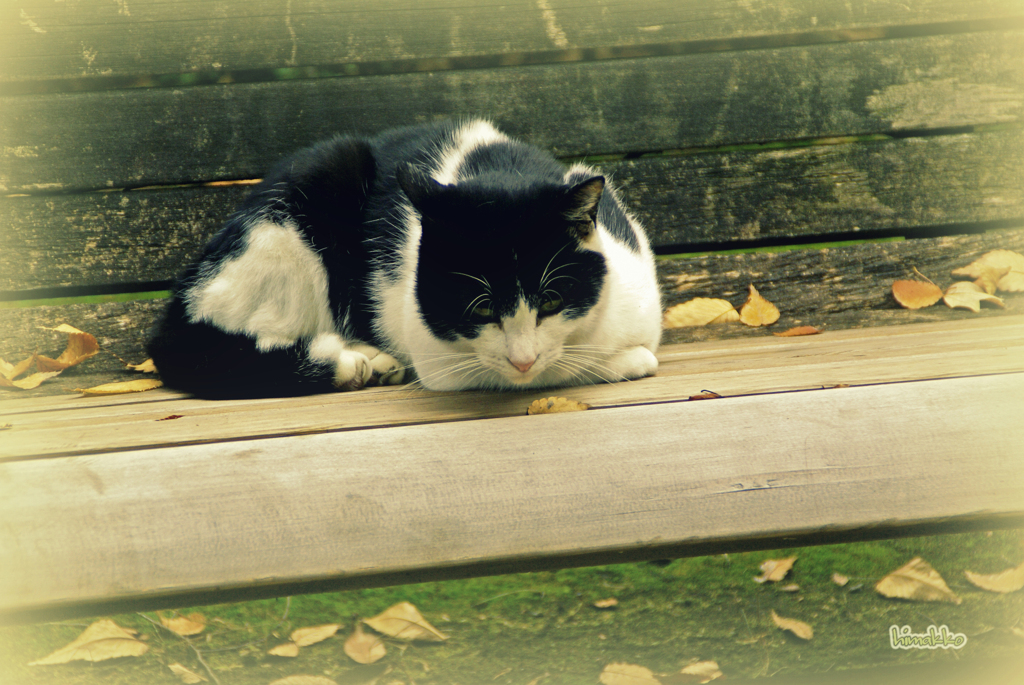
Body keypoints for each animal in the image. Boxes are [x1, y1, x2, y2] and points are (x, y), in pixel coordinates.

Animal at [149, 118, 663, 395]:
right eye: (480, 309)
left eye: (553, 300)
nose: (522, 359)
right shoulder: (438, 358)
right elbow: (573, 367)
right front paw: (626, 361)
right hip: (306, 197)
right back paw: (349, 362)